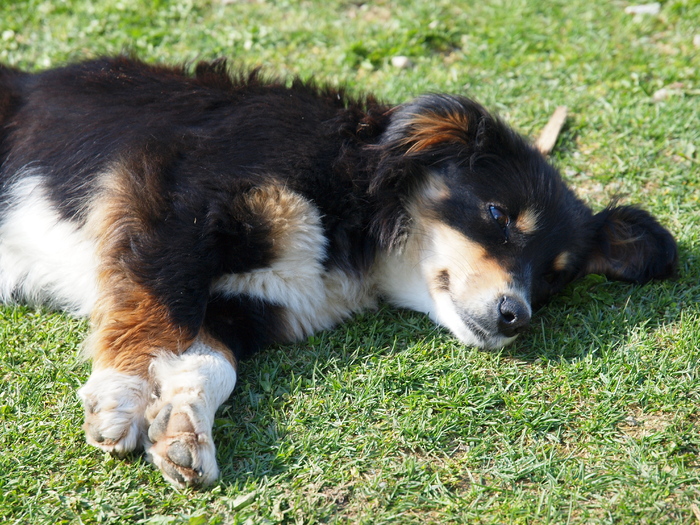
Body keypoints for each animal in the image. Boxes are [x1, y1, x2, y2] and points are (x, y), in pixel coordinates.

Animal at [0, 57, 680, 488]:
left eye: (554, 278)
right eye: (497, 215)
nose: (516, 317)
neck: (354, 209)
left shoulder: (247, 308)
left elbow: (209, 360)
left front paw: (182, 432)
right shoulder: (175, 196)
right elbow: (157, 305)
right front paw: (120, 398)